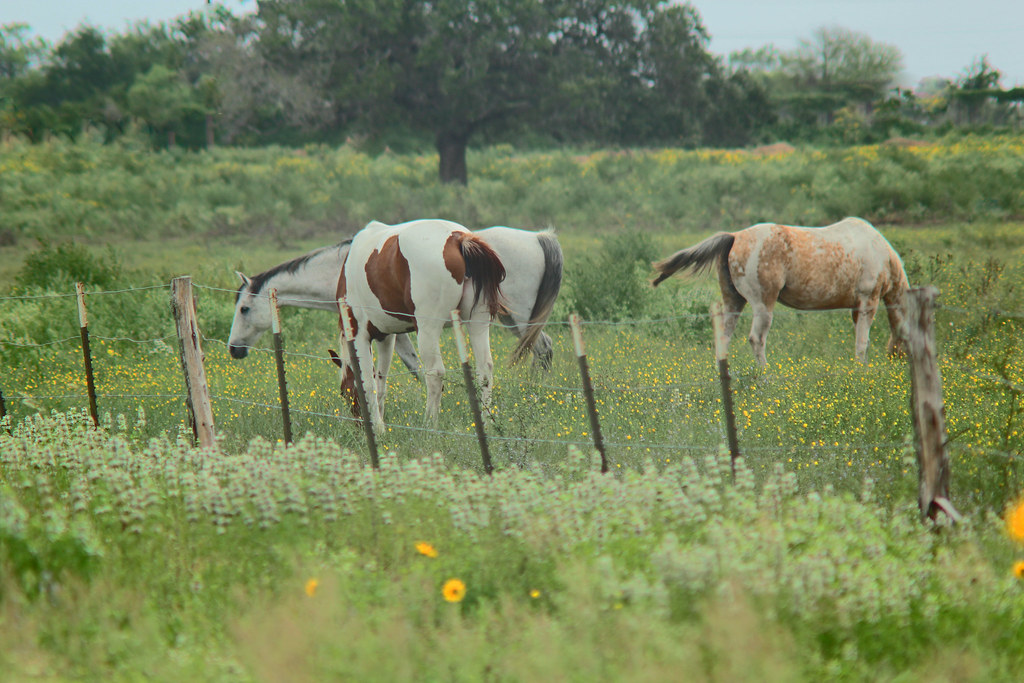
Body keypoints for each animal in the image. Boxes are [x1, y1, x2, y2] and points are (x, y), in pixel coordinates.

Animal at [227, 228, 562, 370]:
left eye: (244, 309)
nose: (233, 349)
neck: (345, 265)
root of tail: (537, 237)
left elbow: (411, 364)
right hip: (508, 320)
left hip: (520, 318)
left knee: (543, 349)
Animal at [333, 218, 507, 434]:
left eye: (344, 392)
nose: (358, 426)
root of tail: (457, 238)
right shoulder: (386, 337)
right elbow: (381, 382)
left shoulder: (359, 336)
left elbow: (368, 383)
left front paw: (378, 428)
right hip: (477, 323)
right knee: (485, 370)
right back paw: (487, 423)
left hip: (427, 330)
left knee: (435, 374)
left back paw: (429, 426)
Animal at [652, 217, 909, 366]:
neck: (882, 254)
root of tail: (735, 237)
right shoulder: (868, 301)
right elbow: (862, 341)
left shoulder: (856, 307)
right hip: (763, 305)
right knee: (757, 339)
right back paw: (765, 377)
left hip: (733, 302)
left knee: (724, 338)